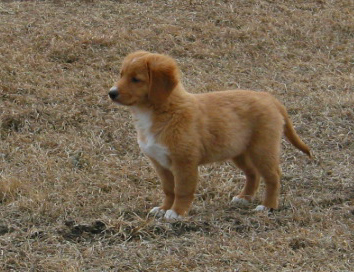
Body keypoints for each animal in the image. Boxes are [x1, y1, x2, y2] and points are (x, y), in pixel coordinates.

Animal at [108, 51, 310, 220]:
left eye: (136, 79)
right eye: (121, 74)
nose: (111, 93)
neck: (163, 111)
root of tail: (269, 98)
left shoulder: (184, 162)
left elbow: (182, 190)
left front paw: (176, 212)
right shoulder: (160, 163)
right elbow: (169, 189)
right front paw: (164, 208)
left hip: (262, 149)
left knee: (273, 176)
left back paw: (268, 206)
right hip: (239, 151)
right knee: (253, 174)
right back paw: (244, 198)